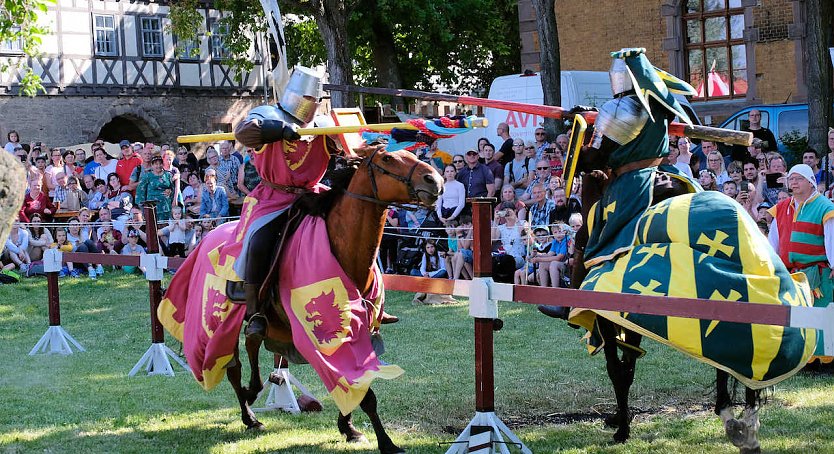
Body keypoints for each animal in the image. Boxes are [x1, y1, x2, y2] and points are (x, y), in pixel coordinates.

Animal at [224, 146, 438, 454]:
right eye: (387, 159)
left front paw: (348, 428)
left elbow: (354, 381)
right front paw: (386, 442)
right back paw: (250, 409)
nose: (434, 180)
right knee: (240, 358)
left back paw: (251, 406)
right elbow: (361, 390)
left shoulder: (361, 333)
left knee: (249, 348)